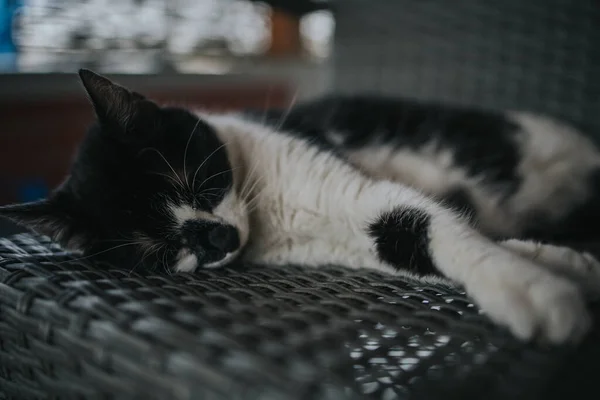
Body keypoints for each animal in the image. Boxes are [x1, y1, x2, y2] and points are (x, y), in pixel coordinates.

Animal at [1, 69, 600, 344]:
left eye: (199, 186)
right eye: (161, 251)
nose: (217, 240)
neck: (264, 208)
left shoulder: (360, 190)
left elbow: (439, 227)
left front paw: (530, 286)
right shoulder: (356, 237)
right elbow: (419, 240)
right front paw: (552, 265)